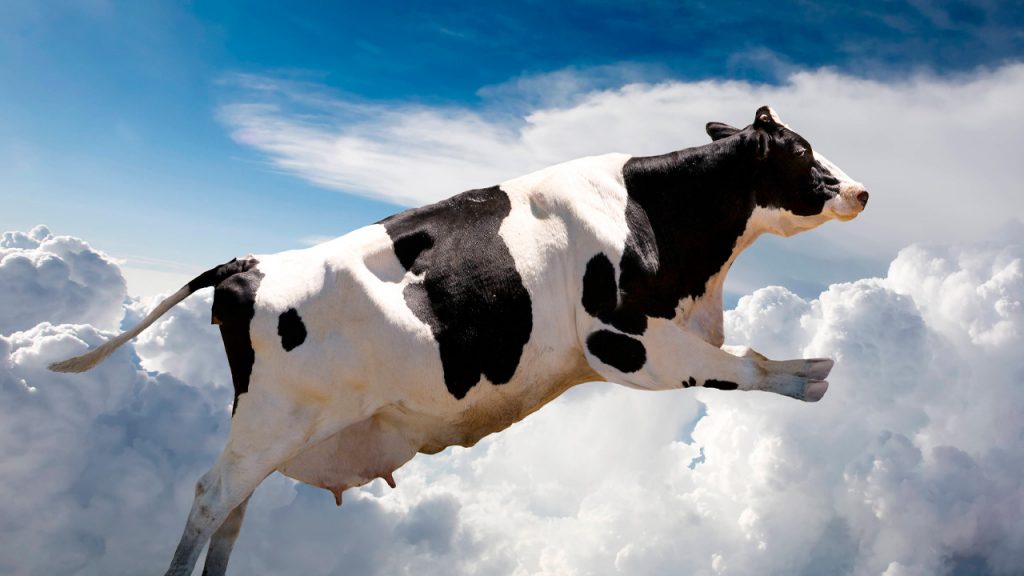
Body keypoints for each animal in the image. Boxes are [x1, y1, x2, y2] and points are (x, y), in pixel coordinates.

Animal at [49, 106, 868, 576]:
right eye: (801, 151)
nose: (862, 191)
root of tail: (248, 263)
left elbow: (744, 359)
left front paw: (816, 365)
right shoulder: (625, 345)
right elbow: (745, 368)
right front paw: (817, 374)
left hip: (271, 429)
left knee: (234, 506)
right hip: (270, 419)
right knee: (212, 497)